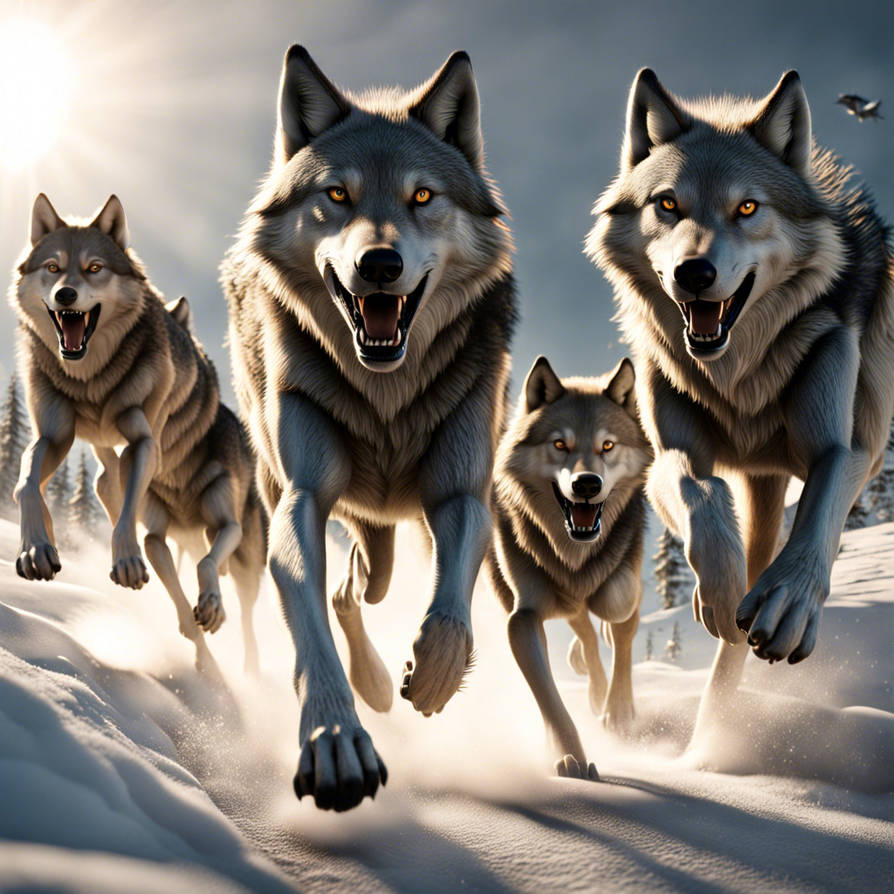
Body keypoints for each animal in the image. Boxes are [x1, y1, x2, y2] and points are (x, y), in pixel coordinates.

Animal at [11, 194, 265, 674]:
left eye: (94, 268)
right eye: (52, 268)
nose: (65, 294)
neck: (90, 381)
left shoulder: (145, 447)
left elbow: (202, 562)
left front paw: (128, 562)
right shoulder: (56, 436)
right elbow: (25, 483)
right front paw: (36, 549)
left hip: (246, 560)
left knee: (244, 617)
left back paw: (244, 668)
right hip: (155, 532)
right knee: (182, 609)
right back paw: (208, 666)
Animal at [222, 45, 515, 810]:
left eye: (423, 198)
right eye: (337, 196)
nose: (378, 263)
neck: (386, 392)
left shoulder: (460, 496)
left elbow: (450, 608)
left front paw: (435, 673)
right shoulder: (301, 502)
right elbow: (313, 633)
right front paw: (335, 743)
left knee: (366, 584)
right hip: (287, 486)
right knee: (345, 590)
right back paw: (375, 686)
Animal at [488, 356, 650, 780]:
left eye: (607, 445)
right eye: (560, 444)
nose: (587, 484)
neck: (574, 555)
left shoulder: (618, 590)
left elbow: (619, 612)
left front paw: (619, 712)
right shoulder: (523, 617)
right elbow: (549, 696)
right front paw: (571, 758)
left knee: (607, 619)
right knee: (582, 626)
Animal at [587, 69, 894, 710]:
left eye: (747, 207)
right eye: (667, 204)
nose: (694, 273)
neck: (739, 375)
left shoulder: (847, 450)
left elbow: (819, 515)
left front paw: (788, 604)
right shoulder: (668, 455)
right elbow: (698, 490)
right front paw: (723, 590)